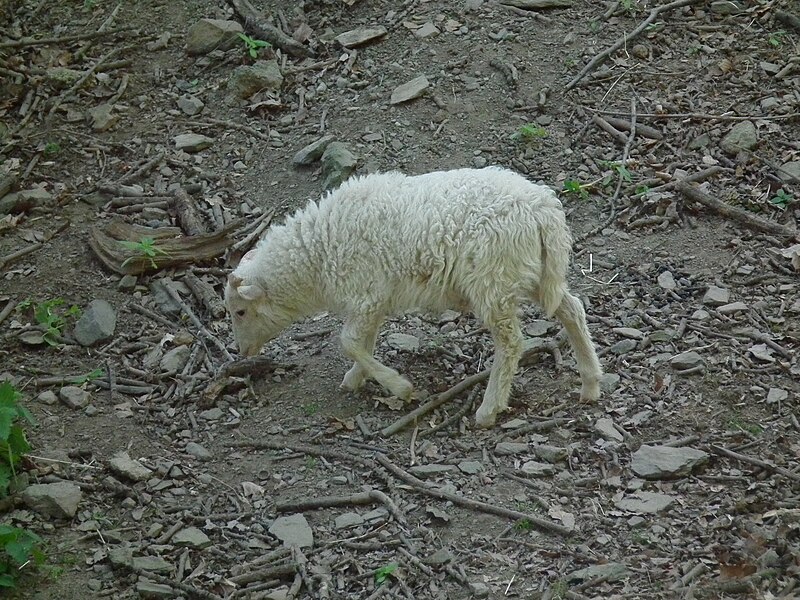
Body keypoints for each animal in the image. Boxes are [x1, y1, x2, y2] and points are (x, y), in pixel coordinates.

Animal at [225, 166, 600, 428]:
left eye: (240, 312)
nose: (242, 352)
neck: (314, 256)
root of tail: (543, 209)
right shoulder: (373, 301)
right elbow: (364, 341)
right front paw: (356, 379)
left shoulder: (365, 293)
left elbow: (349, 341)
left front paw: (399, 387)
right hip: (534, 272)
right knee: (573, 309)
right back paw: (591, 384)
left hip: (494, 279)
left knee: (511, 343)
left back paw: (489, 409)